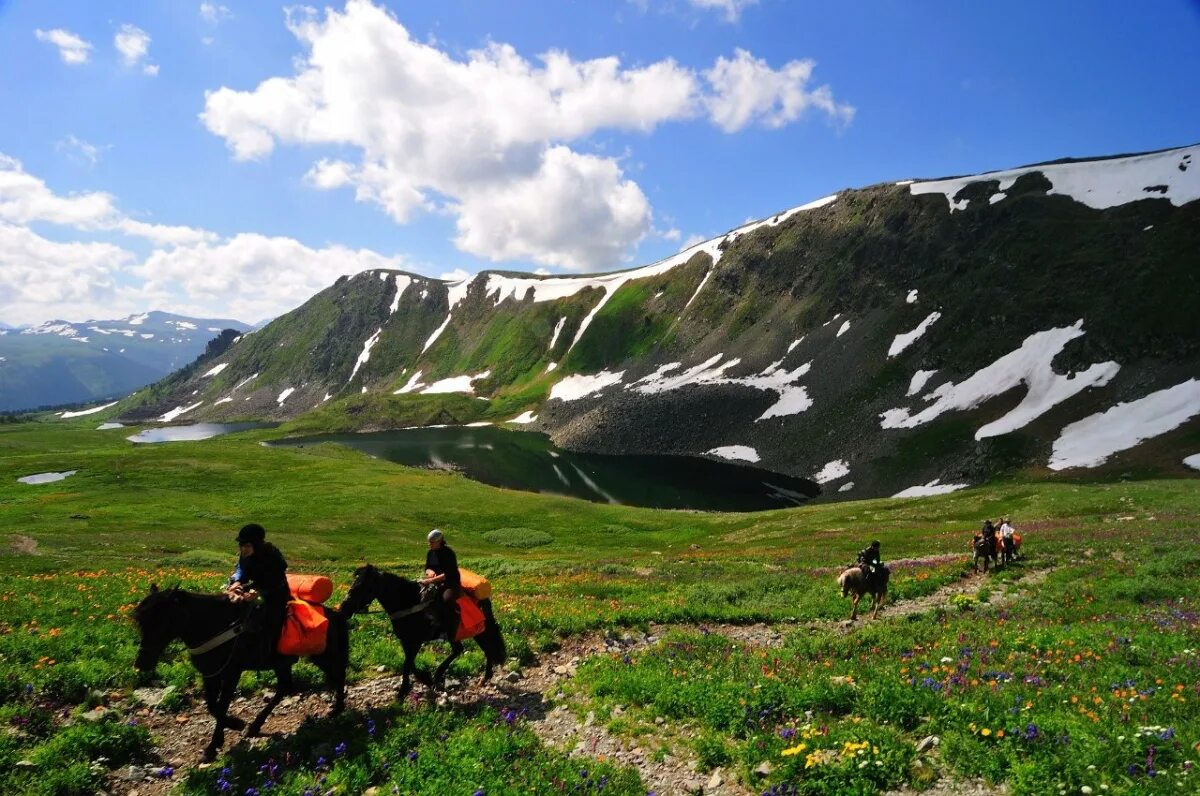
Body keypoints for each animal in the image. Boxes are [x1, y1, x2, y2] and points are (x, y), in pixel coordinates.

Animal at [133, 588, 348, 763]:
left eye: (162, 620)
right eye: (140, 621)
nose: (141, 664)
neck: (213, 625)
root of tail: (337, 614)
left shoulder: (232, 673)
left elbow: (221, 706)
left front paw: (218, 741)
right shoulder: (210, 675)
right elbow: (212, 707)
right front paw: (230, 730)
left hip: (322, 656)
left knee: (338, 675)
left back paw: (337, 709)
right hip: (282, 663)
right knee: (285, 687)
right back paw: (254, 726)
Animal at [338, 564, 506, 701]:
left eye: (361, 586)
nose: (343, 609)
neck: (408, 603)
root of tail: (483, 598)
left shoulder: (416, 641)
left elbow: (407, 664)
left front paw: (404, 691)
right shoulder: (406, 641)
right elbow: (409, 663)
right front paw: (423, 680)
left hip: (475, 630)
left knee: (475, 648)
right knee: (475, 649)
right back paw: (479, 677)